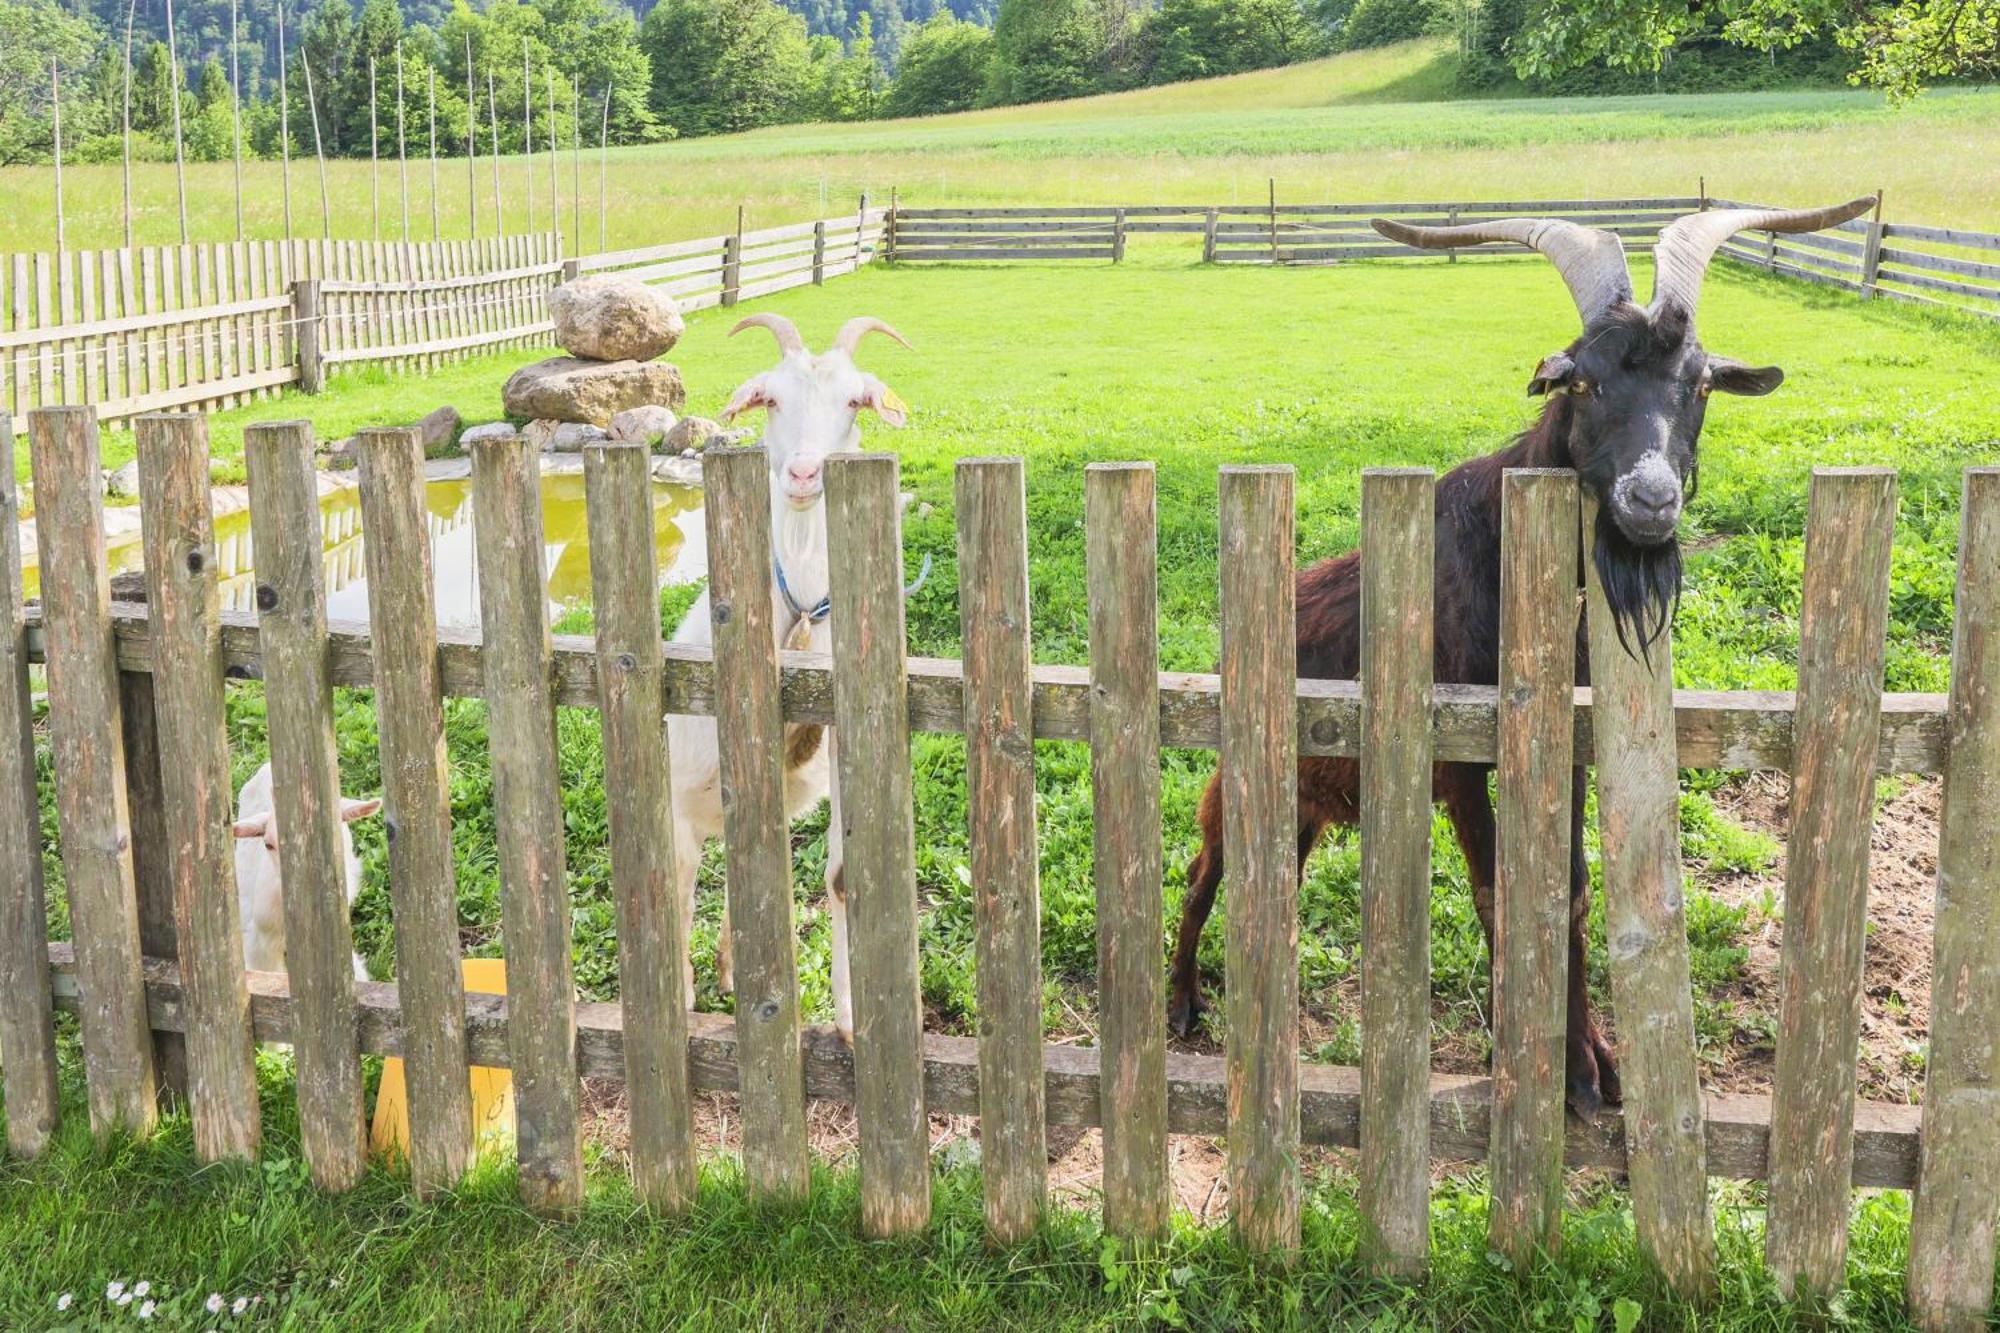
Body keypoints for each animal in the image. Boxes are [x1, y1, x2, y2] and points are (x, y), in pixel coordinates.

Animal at [672, 312, 916, 1040]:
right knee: (682, 873)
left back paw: (729, 970)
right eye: (770, 399)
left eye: (855, 401)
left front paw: (850, 1016)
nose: (806, 473)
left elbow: (839, 876)